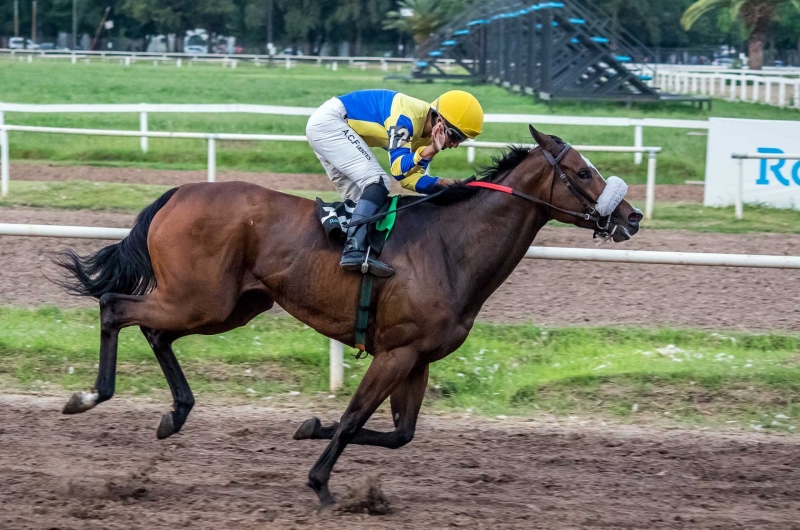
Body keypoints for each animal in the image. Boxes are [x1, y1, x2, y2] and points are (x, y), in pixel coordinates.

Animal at [53, 126, 640, 506]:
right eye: (583, 171)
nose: (632, 216)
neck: (451, 246)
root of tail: (179, 191)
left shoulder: (418, 358)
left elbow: (400, 434)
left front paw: (312, 427)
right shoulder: (396, 351)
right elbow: (358, 416)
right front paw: (320, 482)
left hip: (229, 306)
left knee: (154, 330)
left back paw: (175, 412)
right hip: (200, 298)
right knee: (116, 307)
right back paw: (91, 395)